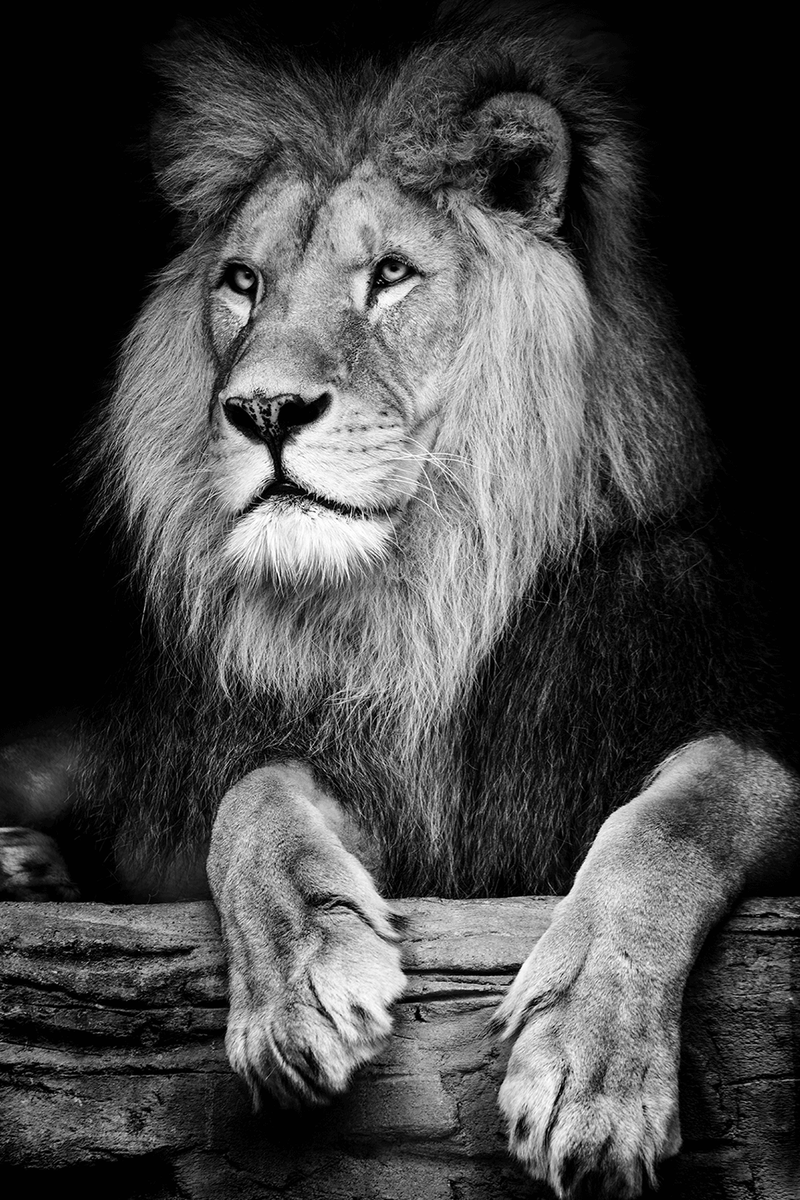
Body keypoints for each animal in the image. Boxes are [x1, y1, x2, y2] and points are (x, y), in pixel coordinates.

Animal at [1, 5, 798, 1198]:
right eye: (242, 282)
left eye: (389, 274)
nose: (264, 409)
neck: (432, 597)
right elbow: (253, 792)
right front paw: (298, 985)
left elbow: (684, 815)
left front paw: (591, 1066)